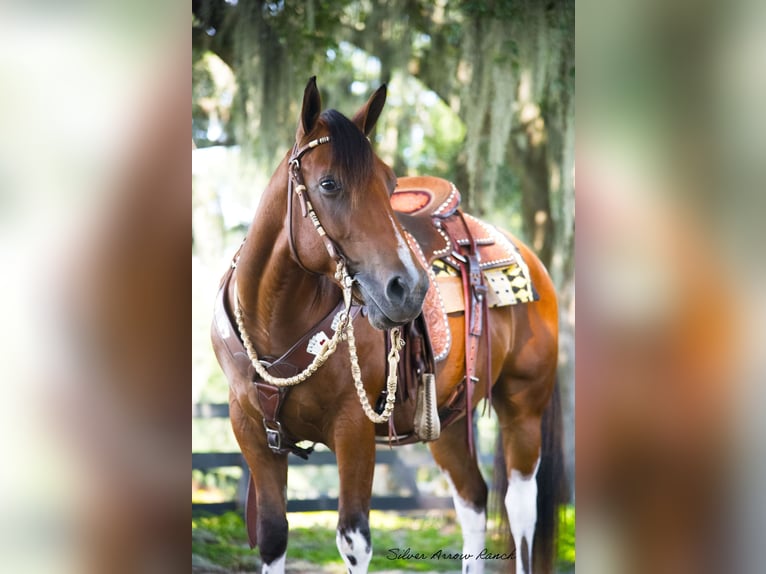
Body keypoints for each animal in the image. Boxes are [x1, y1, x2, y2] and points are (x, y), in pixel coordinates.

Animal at [213, 77, 568, 574]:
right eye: (328, 183)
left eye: (391, 184)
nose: (411, 288)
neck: (275, 323)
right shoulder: (251, 431)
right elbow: (271, 535)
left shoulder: (353, 430)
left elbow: (354, 539)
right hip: (446, 421)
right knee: (473, 500)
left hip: (523, 407)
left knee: (519, 508)